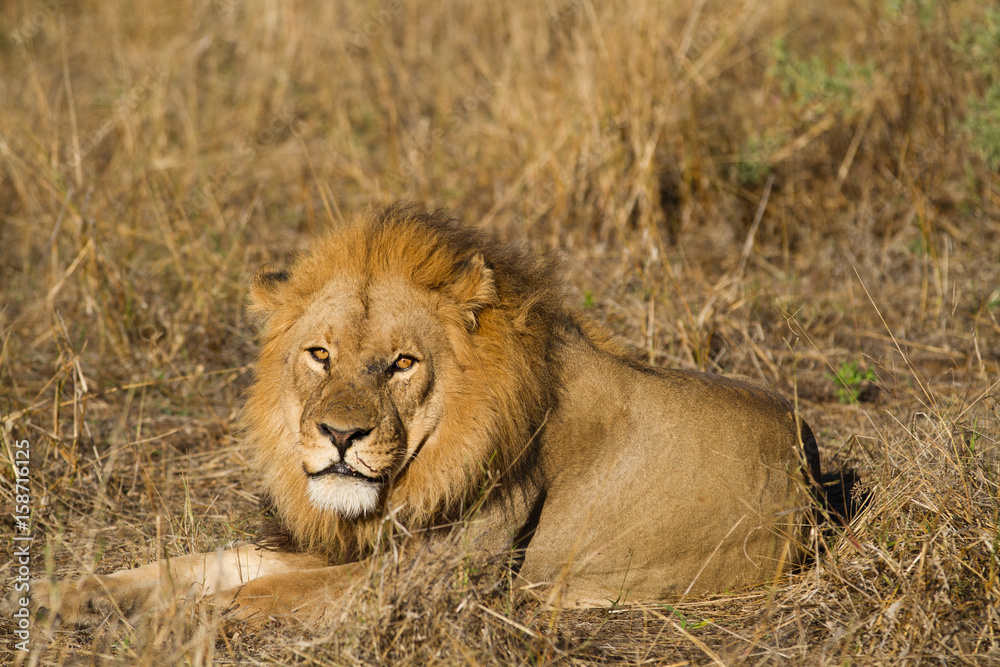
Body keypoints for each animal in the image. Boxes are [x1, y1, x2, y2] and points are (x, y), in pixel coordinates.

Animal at [27, 202, 824, 628]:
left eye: (402, 364)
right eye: (320, 354)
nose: (339, 435)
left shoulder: (432, 575)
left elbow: (256, 591)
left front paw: (163, 626)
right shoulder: (349, 546)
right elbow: (209, 563)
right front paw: (66, 595)